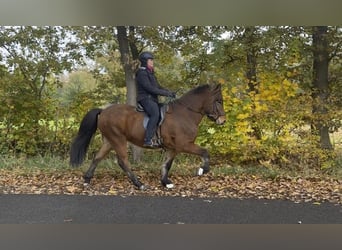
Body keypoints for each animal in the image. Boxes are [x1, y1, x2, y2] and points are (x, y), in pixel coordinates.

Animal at [69, 83, 226, 189]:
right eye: (219, 101)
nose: (223, 120)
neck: (185, 113)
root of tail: (103, 111)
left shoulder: (173, 148)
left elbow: (167, 164)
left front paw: (165, 182)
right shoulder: (184, 145)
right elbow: (205, 152)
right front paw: (202, 170)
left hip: (109, 141)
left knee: (97, 157)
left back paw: (87, 180)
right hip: (118, 139)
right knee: (122, 161)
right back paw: (139, 184)